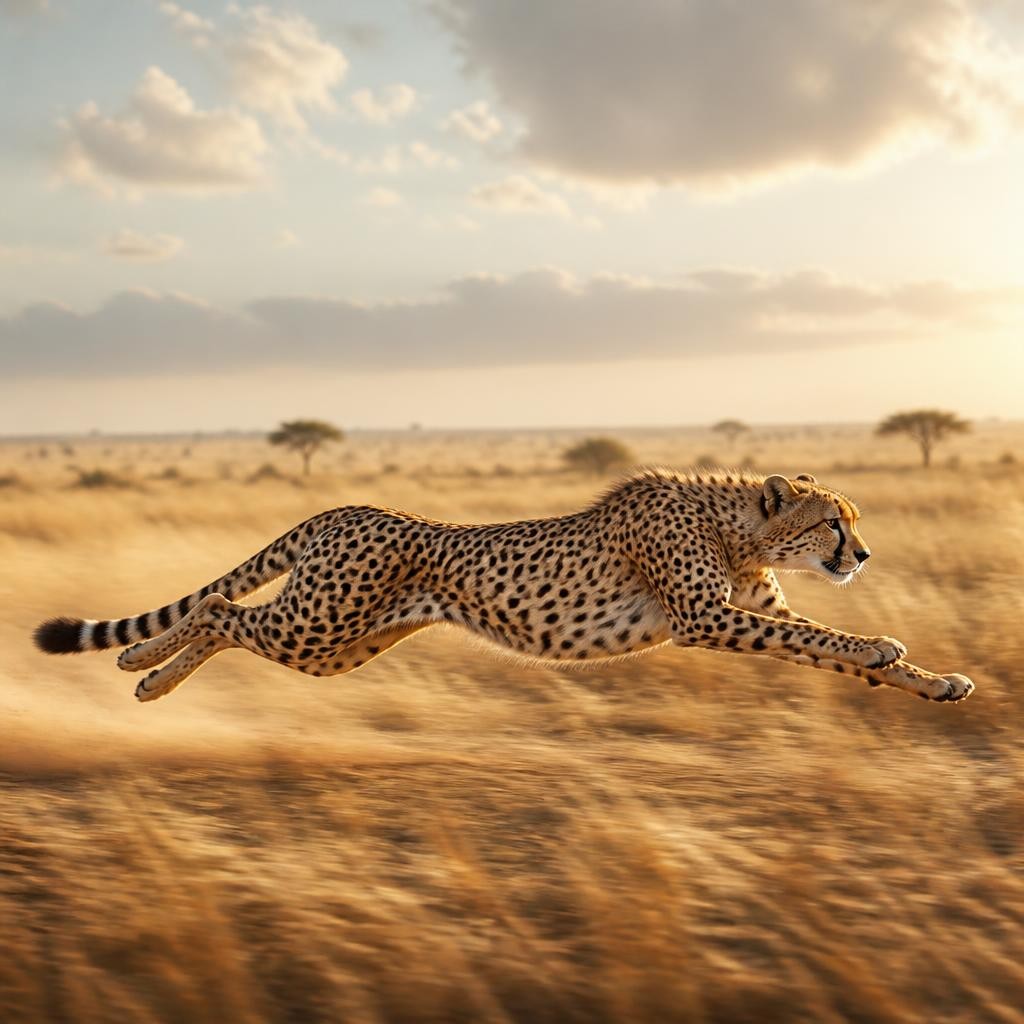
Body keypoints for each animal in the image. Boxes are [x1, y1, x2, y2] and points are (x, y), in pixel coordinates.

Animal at [33, 468, 975, 705]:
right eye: (833, 523)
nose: (862, 556)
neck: (741, 528)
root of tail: (346, 505)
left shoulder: (743, 610)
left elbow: (830, 650)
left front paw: (935, 682)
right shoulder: (706, 619)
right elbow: (823, 638)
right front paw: (883, 644)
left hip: (344, 646)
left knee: (225, 614)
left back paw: (147, 677)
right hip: (319, 625)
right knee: (221, 607)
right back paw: (144, 673)